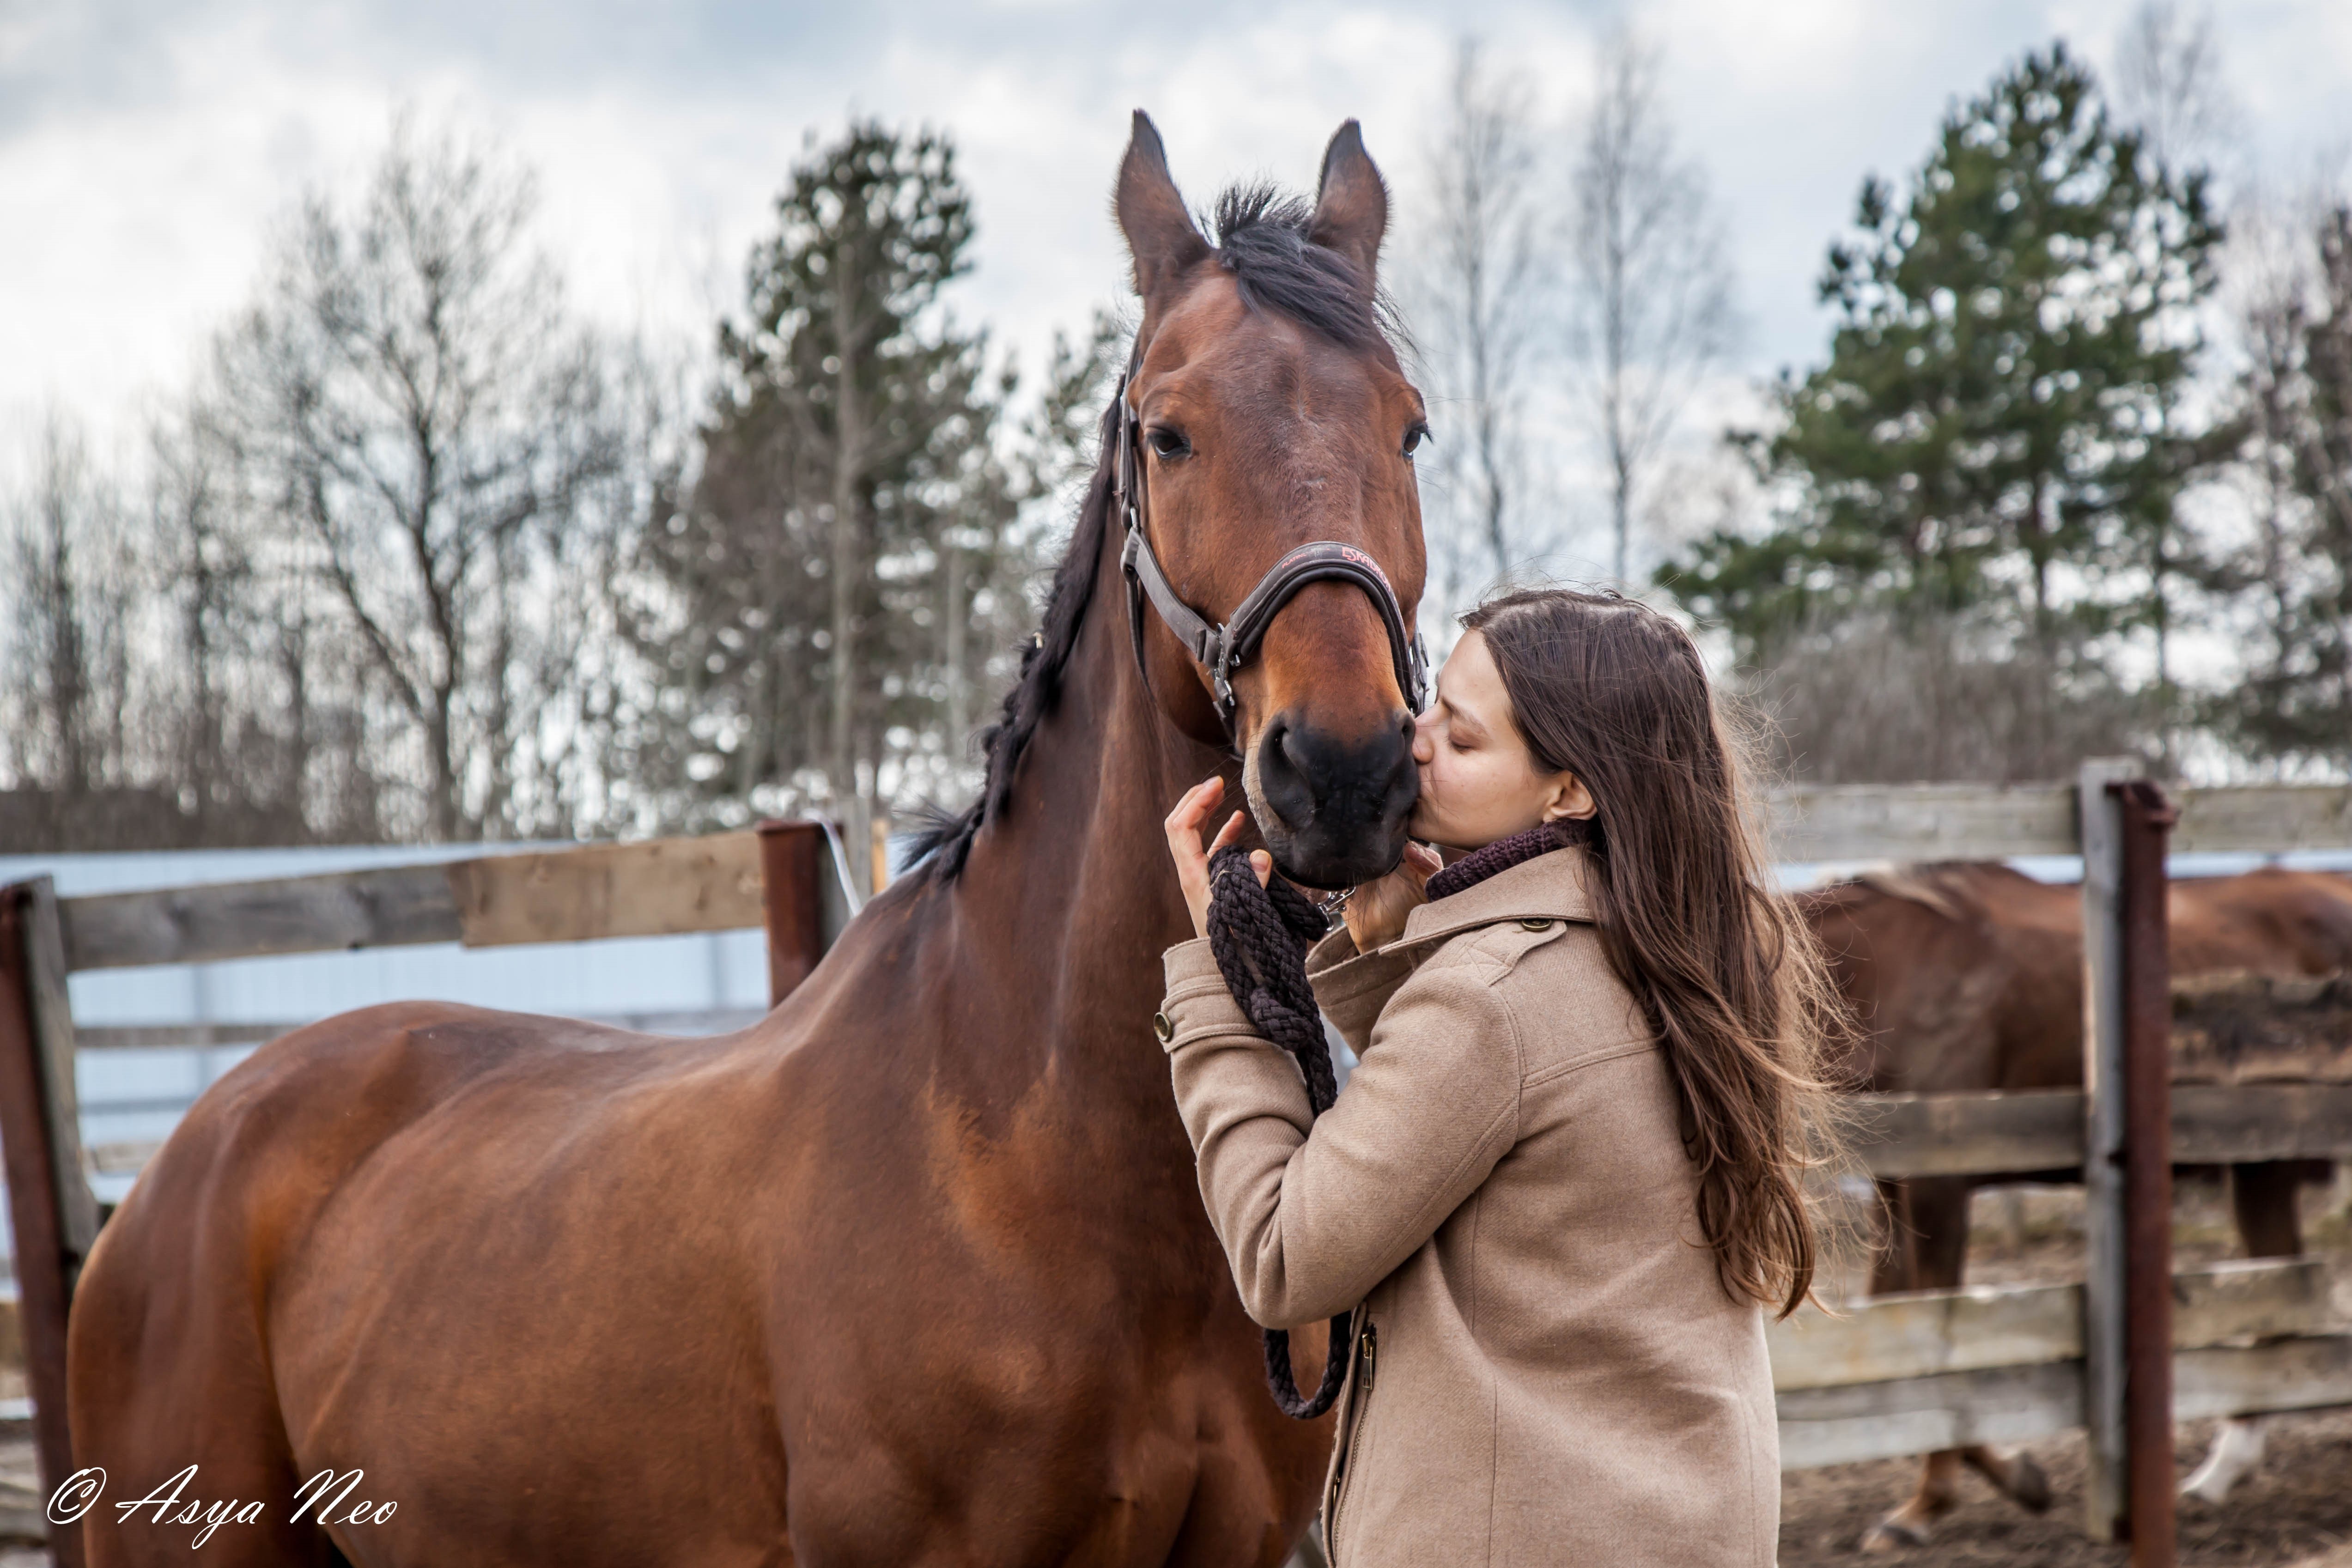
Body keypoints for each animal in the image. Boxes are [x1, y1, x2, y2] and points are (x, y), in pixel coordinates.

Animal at [1797, 865, 2352, 1551]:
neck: (1888, 969)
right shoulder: (1893, 1184)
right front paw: (1991, 1483)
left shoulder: (1939, 1184)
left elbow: (1940, 1342)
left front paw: (1941, 1501)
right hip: (2262, 1165)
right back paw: (2220, 1473)